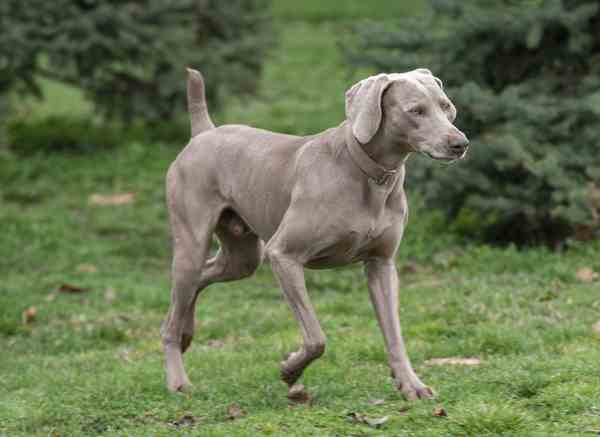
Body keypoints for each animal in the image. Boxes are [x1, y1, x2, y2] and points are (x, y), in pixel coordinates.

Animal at [159, 65, 468, 398]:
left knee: (200, 280)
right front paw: (290, 371)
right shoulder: (283, 255)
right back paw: (178, 378)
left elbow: (394, 333)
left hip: (243, 257)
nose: (460, 143)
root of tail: (203, 132)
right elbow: (316, 337)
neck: (369, 176)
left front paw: (412, 385)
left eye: (446, 106)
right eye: (416, 111)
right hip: (193, 244)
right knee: (176, 308)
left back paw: (186, 333)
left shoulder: (382, 264)